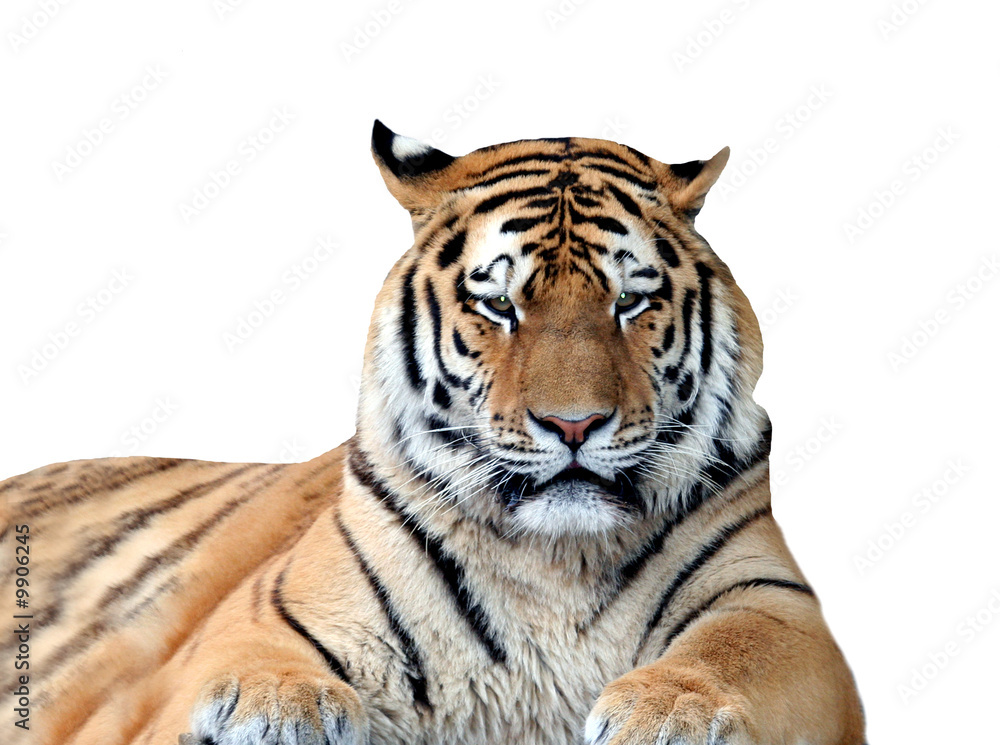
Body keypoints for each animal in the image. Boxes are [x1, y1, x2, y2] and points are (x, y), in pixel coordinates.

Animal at [1, 120, 866, 745]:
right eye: (499, 305)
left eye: (629, 301)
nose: (574, 423)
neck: (555, 561)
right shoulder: (261, 618)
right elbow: (247, 655)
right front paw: (271, 705)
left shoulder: (776, 603)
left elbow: (739, 649)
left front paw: (671, 713)